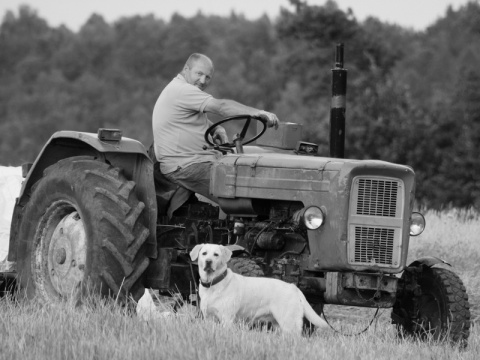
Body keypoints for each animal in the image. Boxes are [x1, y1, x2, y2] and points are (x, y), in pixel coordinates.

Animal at [190, 242, 330, 334]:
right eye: (204, 253)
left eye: (216, 254)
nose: (208, 262)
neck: (213, 284)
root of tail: (293, 288)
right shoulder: (209, 318)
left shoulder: (227, 319)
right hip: (278, 325)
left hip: (290, 324)